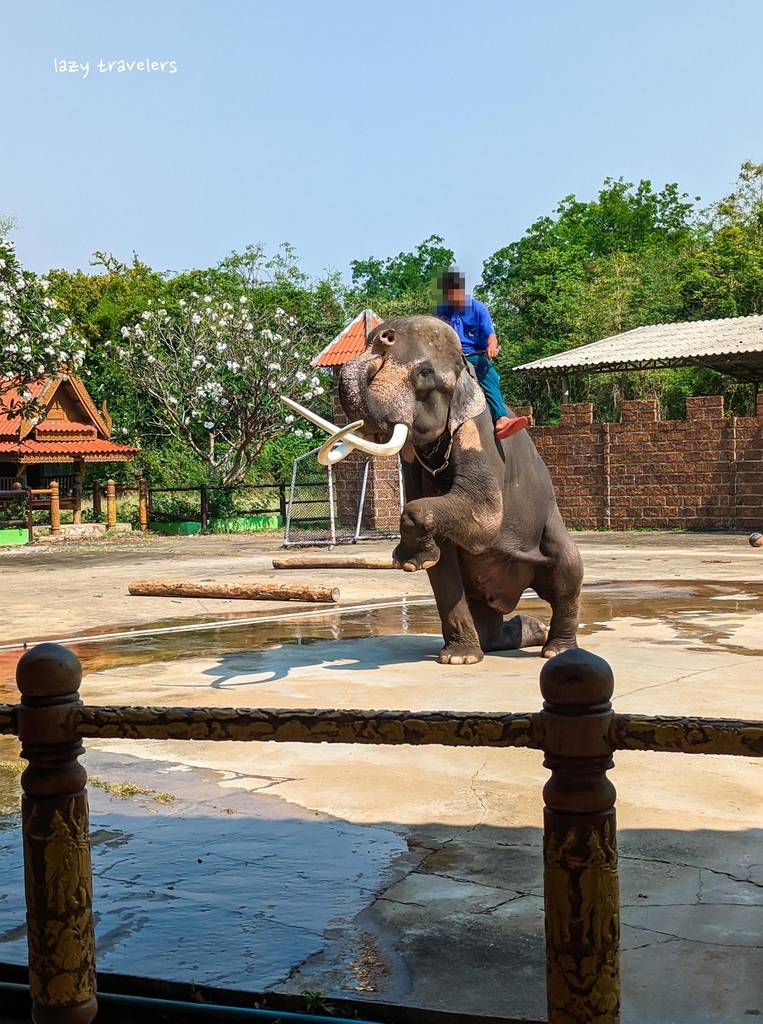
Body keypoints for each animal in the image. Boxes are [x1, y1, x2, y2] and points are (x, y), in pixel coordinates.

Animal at [286, 311, 581, 663]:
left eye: (424, 374)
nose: (383, 335)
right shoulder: (412, 460)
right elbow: (441, 567)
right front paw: (459, 658)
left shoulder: (479, 432)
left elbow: (485, 515)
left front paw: (407, 561)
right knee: (487, 622)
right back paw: (529, 630)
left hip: (550, 529)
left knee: (567, 571)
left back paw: (556, 650)